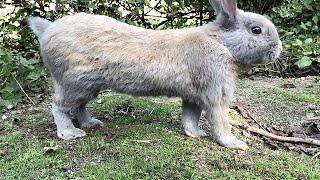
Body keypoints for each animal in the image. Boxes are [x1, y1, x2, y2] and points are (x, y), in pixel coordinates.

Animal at [28, 0, 282, 149]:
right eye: (256, 30)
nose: (278, 49)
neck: (223, 44)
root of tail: (48, 30)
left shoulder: (192, 96)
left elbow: (190, 116)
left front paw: (196, 134)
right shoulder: (214, 95)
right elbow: (220, 121)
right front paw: (235, 144)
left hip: (88, 87)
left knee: (79, 107)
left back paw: (92, 124)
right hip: (74, 84)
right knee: (59, 107)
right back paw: (70, 133)